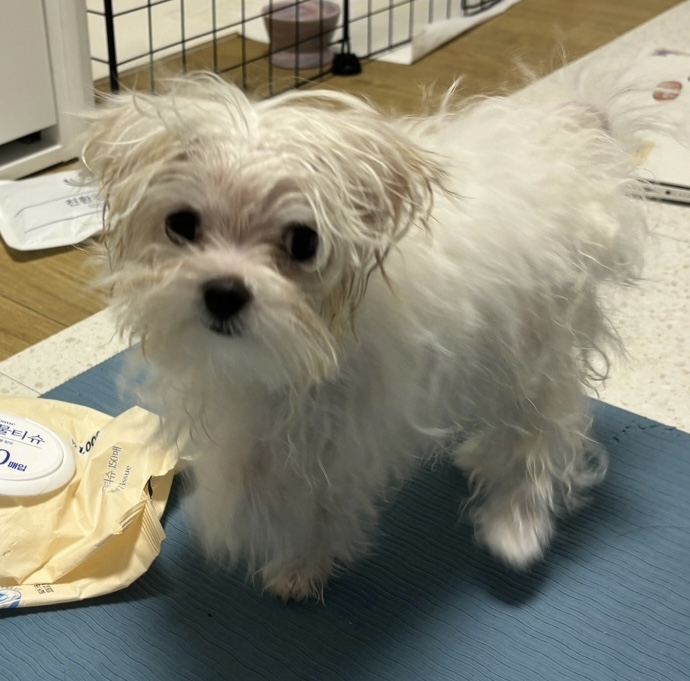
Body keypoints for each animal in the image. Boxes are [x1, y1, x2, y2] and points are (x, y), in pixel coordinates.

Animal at [82, 72, 649, 601]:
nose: (223, 292)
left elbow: (317, 503)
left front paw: (300, 564)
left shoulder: (344, 436)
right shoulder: (247, 409)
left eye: (303, 242)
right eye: (181, 223)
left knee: (543, 432)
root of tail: (573, 137)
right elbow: (245, 471)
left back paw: (517, 526)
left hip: (537, 348)